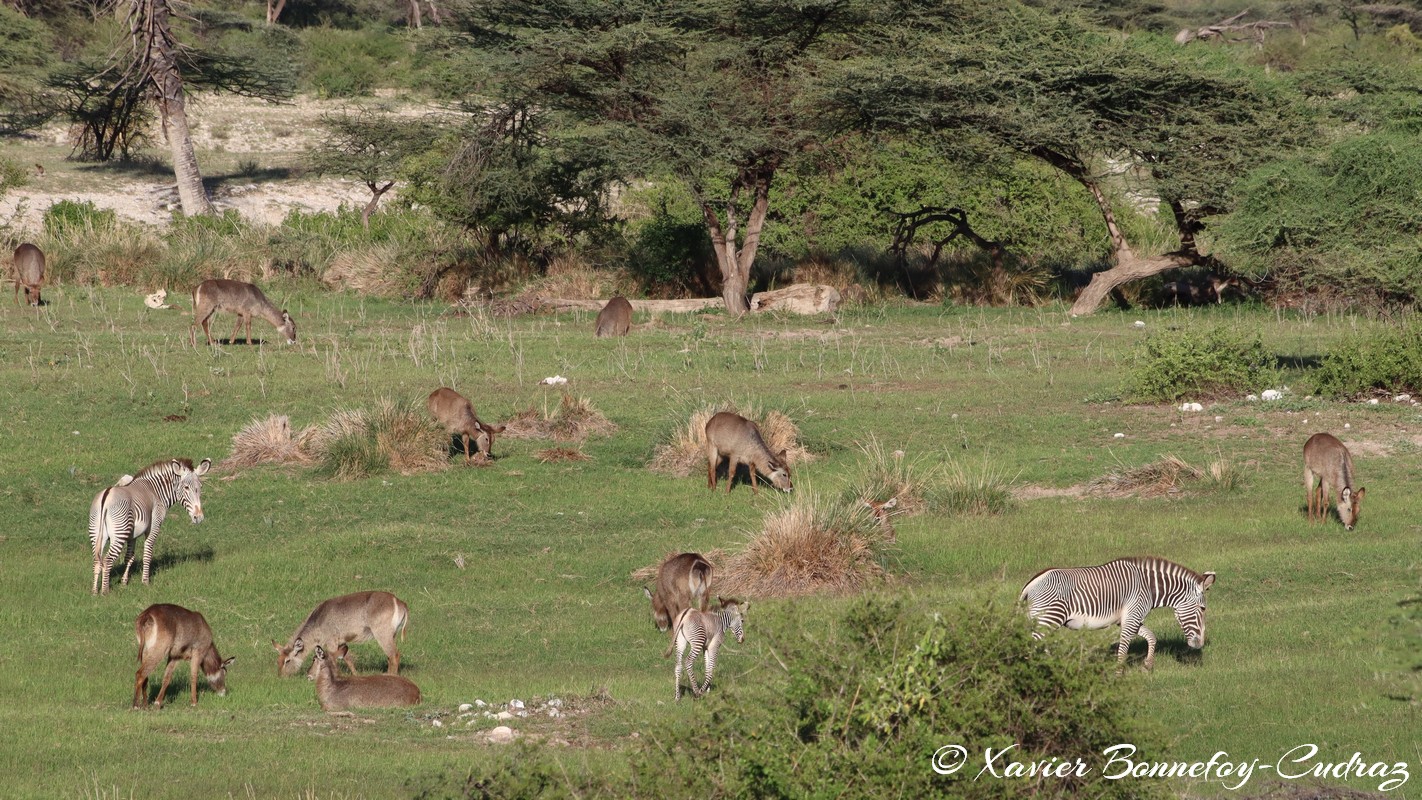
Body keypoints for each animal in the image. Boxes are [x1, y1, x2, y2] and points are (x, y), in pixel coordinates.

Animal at [87, 457, 210, 593]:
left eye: (200, 487)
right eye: (186, 487)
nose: (199, 517)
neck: (155, 491)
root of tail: (107, 496)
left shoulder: (132, 535)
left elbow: (129, 557)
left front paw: (124, 582)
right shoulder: (154, 526)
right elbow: (147, 554)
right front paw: (145, 582)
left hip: (97, 533)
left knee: (96, 560)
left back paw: (94, 591)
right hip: (119, 533)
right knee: (107, 560)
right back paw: (105, 591)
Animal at [271, 591, 409, 679]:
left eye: (287, 660)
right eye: (278, 661)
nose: (281, 677)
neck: (318, 620)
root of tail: (400, 602)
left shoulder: (331, 641)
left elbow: (333, 659)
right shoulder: (341, 641)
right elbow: (348, 659)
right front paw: (356, 675)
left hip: (382, 634)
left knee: (394, 655)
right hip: (391, 635)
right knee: (390, 657)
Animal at [1018, 557, 1217, 676]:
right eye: (1203, 609)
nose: (1199, 645)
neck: (1148, 587)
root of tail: (1031, 583)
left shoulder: (1129, 619)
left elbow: (1151, 637)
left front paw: (1147, 665)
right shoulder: (1133, 616)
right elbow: (1123, 649)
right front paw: (1118, 675)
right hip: (1049, 617)